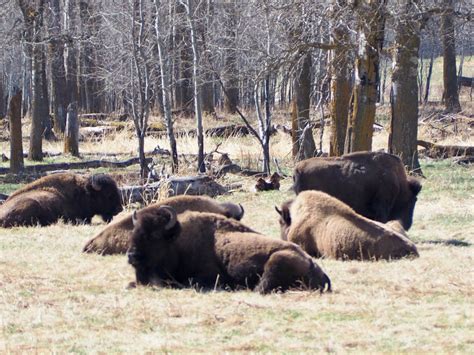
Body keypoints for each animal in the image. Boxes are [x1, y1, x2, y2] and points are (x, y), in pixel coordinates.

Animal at [128, 206, 332, 294]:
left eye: (155, 235)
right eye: (134, 231)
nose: (132, 256)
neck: (177, 242)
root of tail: (314, 265)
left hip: (278, 260)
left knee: (260, 288)